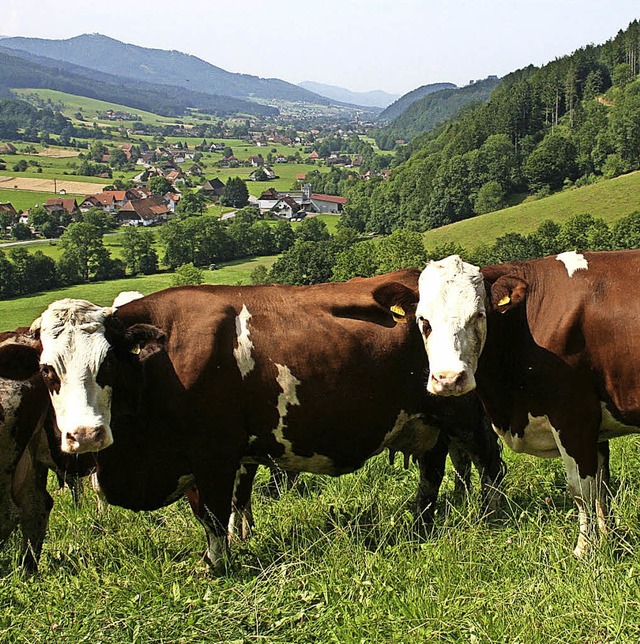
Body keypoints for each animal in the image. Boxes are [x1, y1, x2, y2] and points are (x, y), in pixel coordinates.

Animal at [31, 270, 504, 572]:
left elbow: (214, 513)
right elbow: (217, 507)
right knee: (432, 469)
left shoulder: (214, 454)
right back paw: (420, 521)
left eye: (107, 364)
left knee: (488, 459)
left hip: (460, 407)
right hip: (425, 420)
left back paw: (491, 513)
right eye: (47, 371)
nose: (84, 434)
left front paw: (215, 565)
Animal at [416, 252, 640, 560]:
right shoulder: (595, 423)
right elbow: (602, 485)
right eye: (423, 320)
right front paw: (608, 538)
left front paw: (584, 550)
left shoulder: (574, 416)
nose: (448, 378)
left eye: (478, 315)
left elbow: (581, 489)